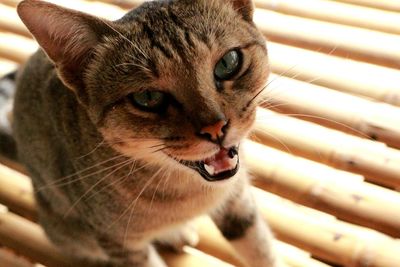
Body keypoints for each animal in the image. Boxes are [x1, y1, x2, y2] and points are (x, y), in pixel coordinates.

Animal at [10, 0, 282, 266]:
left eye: (228, 63)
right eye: (147, 97)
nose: (215, 127)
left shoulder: (238, 202)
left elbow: (260, 249)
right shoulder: (121, 244)